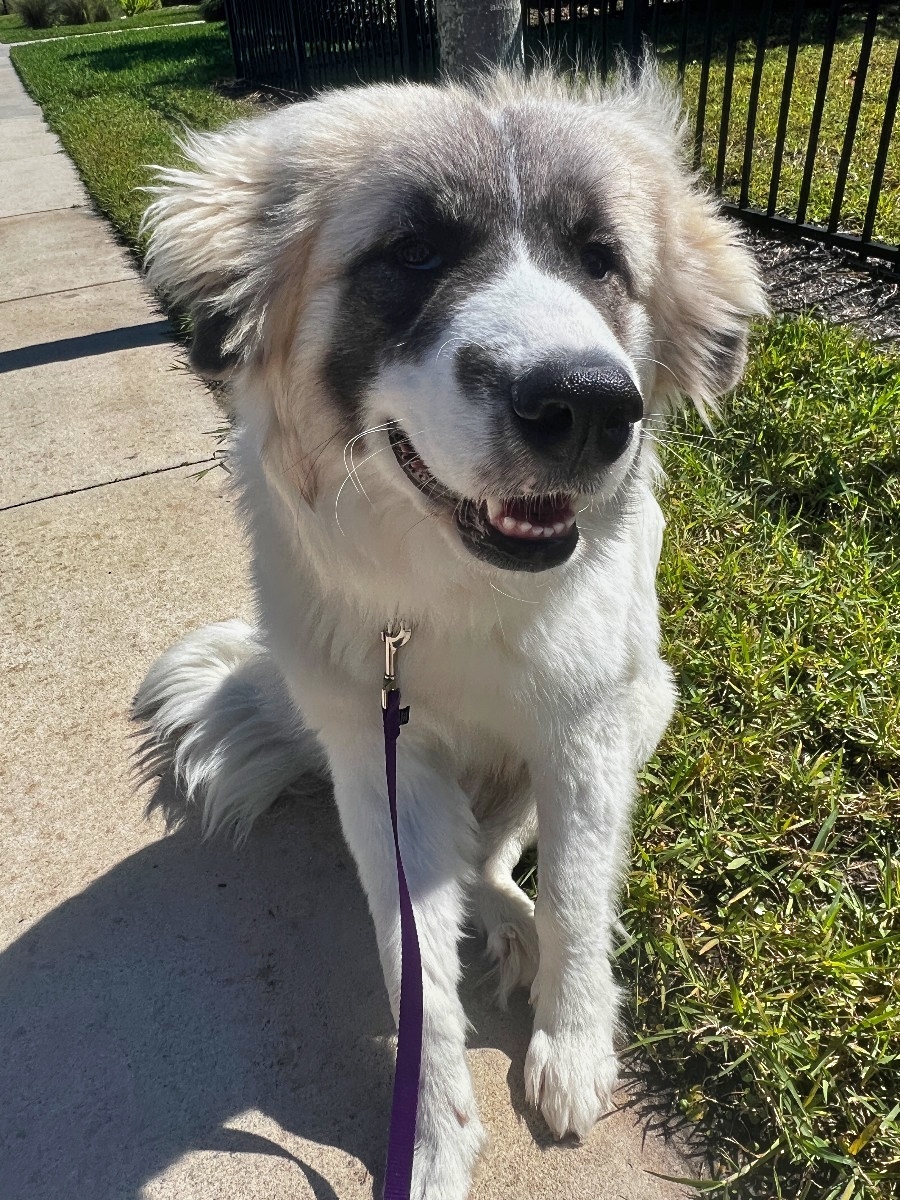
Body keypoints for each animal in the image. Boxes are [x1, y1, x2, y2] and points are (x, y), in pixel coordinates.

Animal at [133, 68, 768, 1200]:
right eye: (416, 251)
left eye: (600, 259)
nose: (589, 405)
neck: (456, 590)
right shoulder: (382, 762)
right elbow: (412, 965)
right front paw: (431, 1141)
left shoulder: (586, 734)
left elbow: (576, 894)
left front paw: (573, 1046)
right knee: (472, 863)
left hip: (646, 703)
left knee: (510, 857)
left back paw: (518, 930)